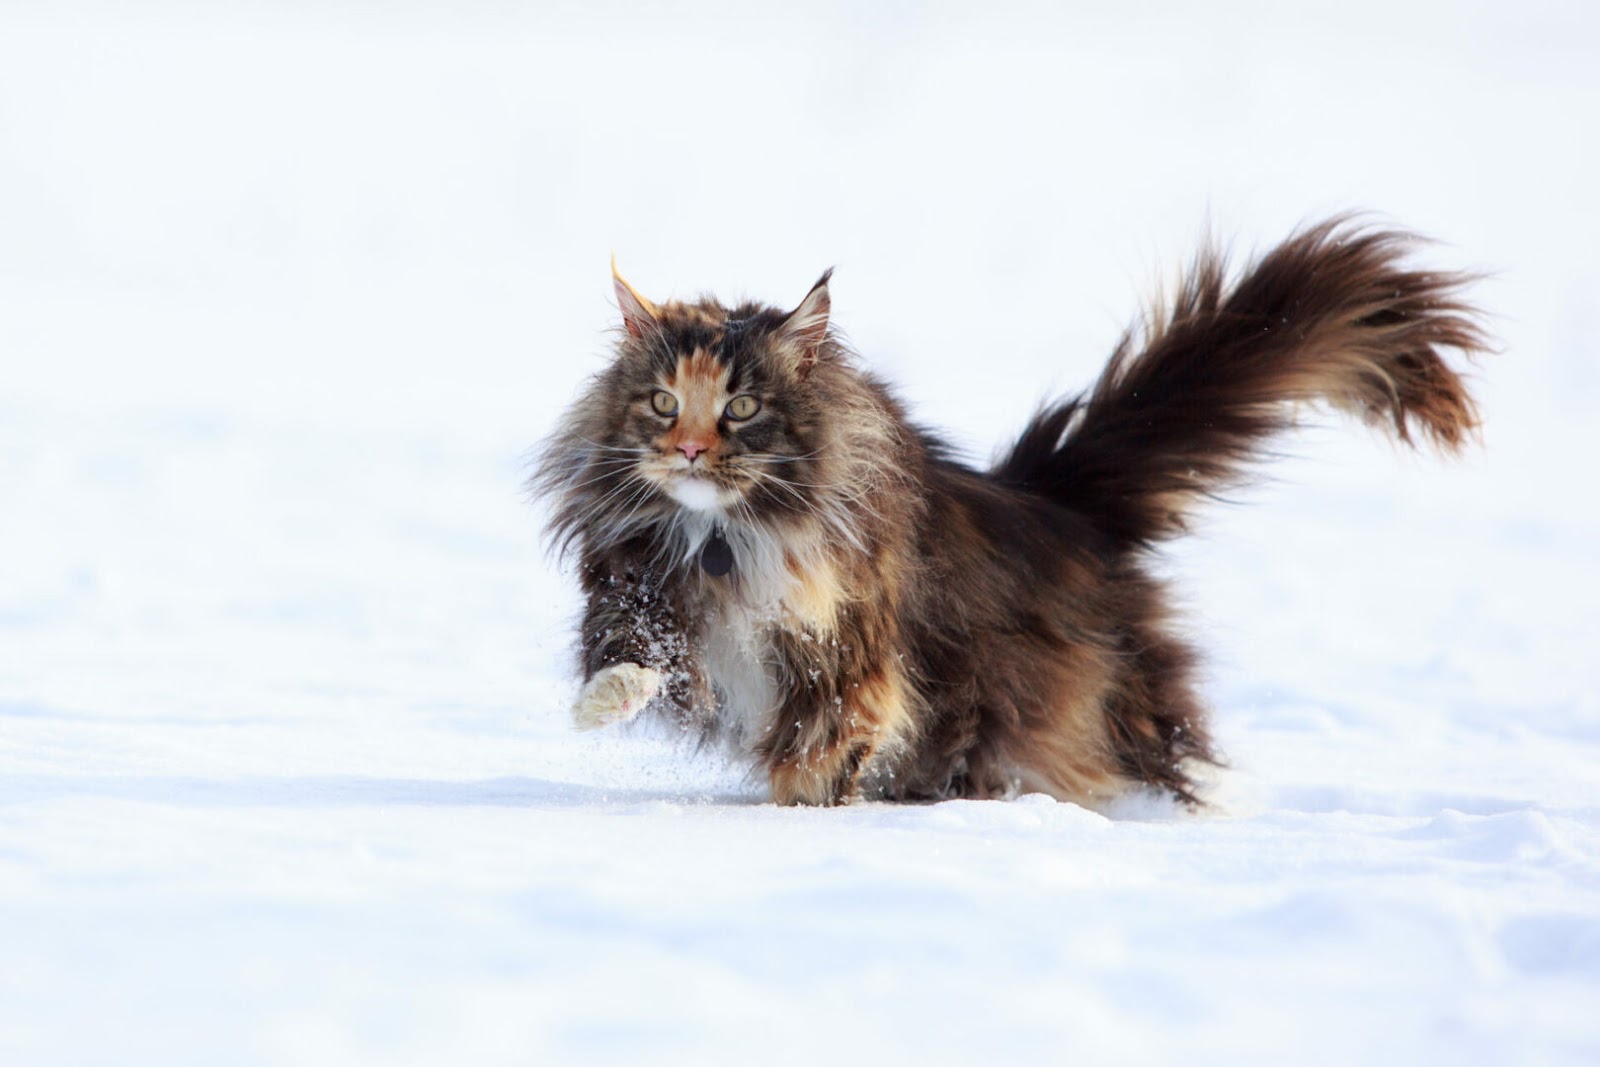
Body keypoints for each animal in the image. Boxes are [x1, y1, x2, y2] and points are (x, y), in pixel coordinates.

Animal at [534, 220, 1484, 809]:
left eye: (741, 408)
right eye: (662, 402)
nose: (691, 450)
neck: (728, 534)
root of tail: (1060, 503)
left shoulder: (852, 651)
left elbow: (826, 742)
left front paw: (805, 811)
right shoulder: (639, 577)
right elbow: (632, 644)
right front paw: (600, 704)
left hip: (1106, 703)